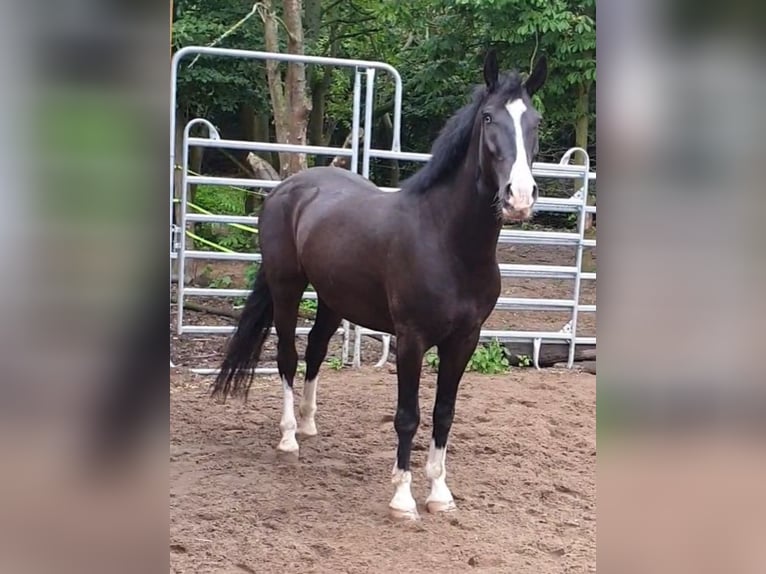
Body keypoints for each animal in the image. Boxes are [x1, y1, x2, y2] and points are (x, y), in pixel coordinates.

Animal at [213, 50, 548, 520]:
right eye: (487, 118)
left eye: (534, 121)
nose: (519, 197)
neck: (447, 241)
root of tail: (288, 188)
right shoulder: (410, 339)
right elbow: (407, 415)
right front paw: (403, 499)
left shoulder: (464, 339)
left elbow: (444, 412)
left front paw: (440, 494)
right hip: (287, 288)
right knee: (288, 356)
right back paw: (289, 437)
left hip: (333, 298)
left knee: (316, 350)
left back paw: (309, 424)